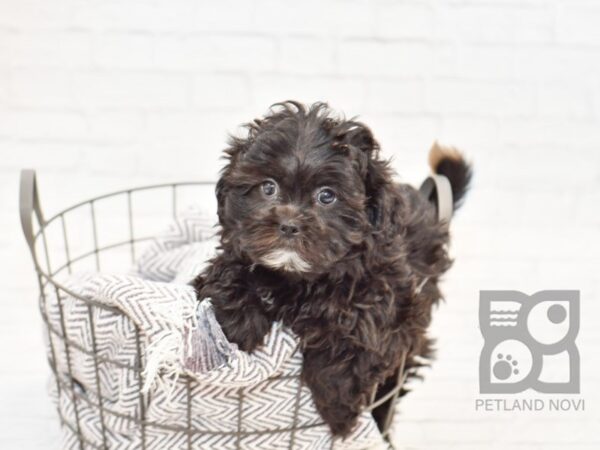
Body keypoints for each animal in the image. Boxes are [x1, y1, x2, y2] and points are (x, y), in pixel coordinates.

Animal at [195, 100, 472, 438]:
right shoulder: (234, 251)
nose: (289, 225)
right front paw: (236, 325)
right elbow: (228, 272)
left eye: (327, 196)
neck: (298, 279)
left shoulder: (394, 300)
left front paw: (338, 412)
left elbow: (358, 339)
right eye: (268, 188)